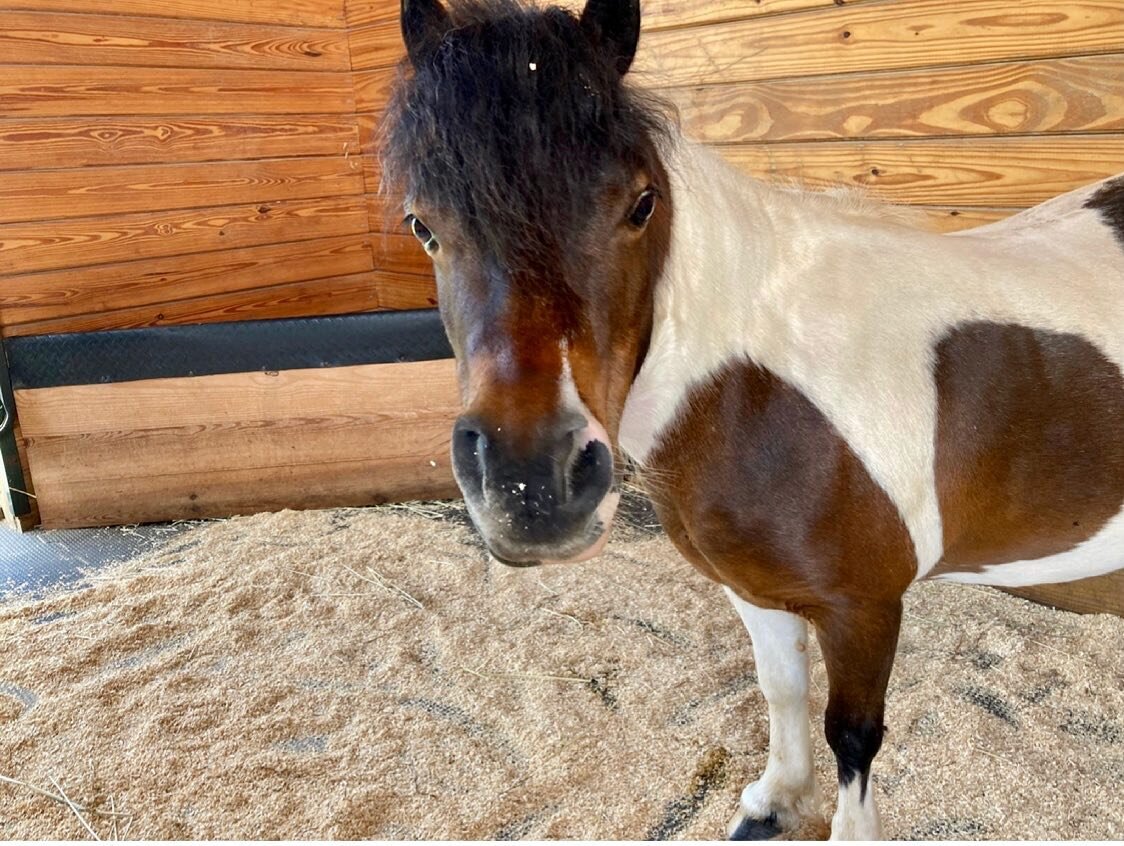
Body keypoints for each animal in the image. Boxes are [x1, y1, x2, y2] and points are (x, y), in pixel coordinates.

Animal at [379, 0, 1124, 831]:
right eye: (422, 224)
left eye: (642, 205)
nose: (530, 488)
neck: (759, 391)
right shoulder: (753, 589)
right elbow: (781, 690)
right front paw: (773, 803)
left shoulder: (865, 607)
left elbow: (853, 735)